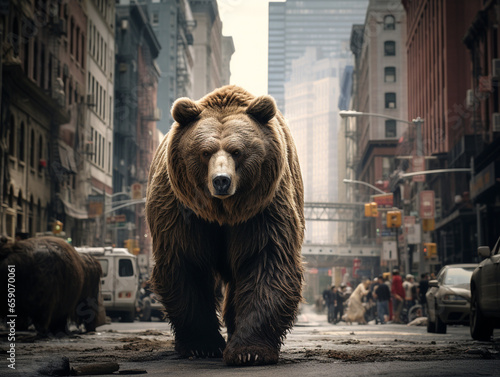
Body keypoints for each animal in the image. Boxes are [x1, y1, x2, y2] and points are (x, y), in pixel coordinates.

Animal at [146, 85, 304, 364]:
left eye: (237, 151)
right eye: (205, 151)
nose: (221, 180)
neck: (223, 212)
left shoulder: (262, 209)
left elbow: (266, 261)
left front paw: (249, 351)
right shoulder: (184, 212)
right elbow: (186, 263)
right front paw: (202, 345)